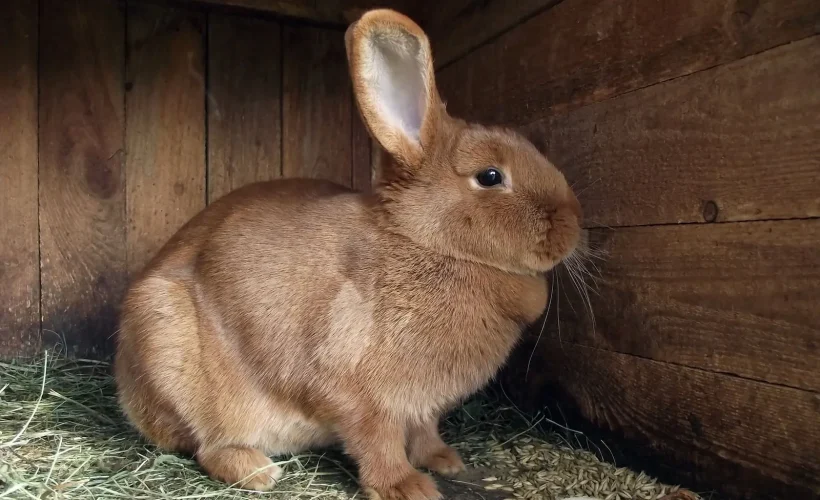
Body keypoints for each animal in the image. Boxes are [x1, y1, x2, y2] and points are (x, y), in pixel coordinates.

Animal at [114, 8, 582, 500]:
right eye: (490, 176)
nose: (573, 224)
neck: (425, 242)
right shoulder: (355, 388)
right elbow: (376, 439)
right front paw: (407, 488)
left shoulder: (422, 405)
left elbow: (424, 431)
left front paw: (444, 461)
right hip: (171, 352)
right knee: (207, 444)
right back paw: (257, 471)